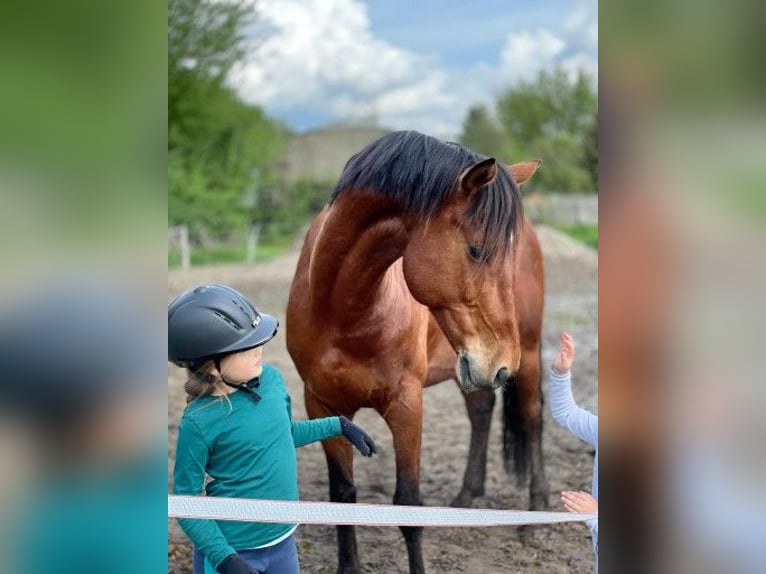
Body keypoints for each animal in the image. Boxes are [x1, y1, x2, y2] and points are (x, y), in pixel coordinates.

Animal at [286, 130, 547, 574]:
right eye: (476, 250)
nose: (501, 363)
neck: (346, 312)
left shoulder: (406, 405)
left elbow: (408, 504)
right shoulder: (322, 404)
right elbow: (343, 495)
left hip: (523, 354)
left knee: (532, 420)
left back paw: (535, 514)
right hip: (469, 368)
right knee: (481, 413)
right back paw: (466, 497)